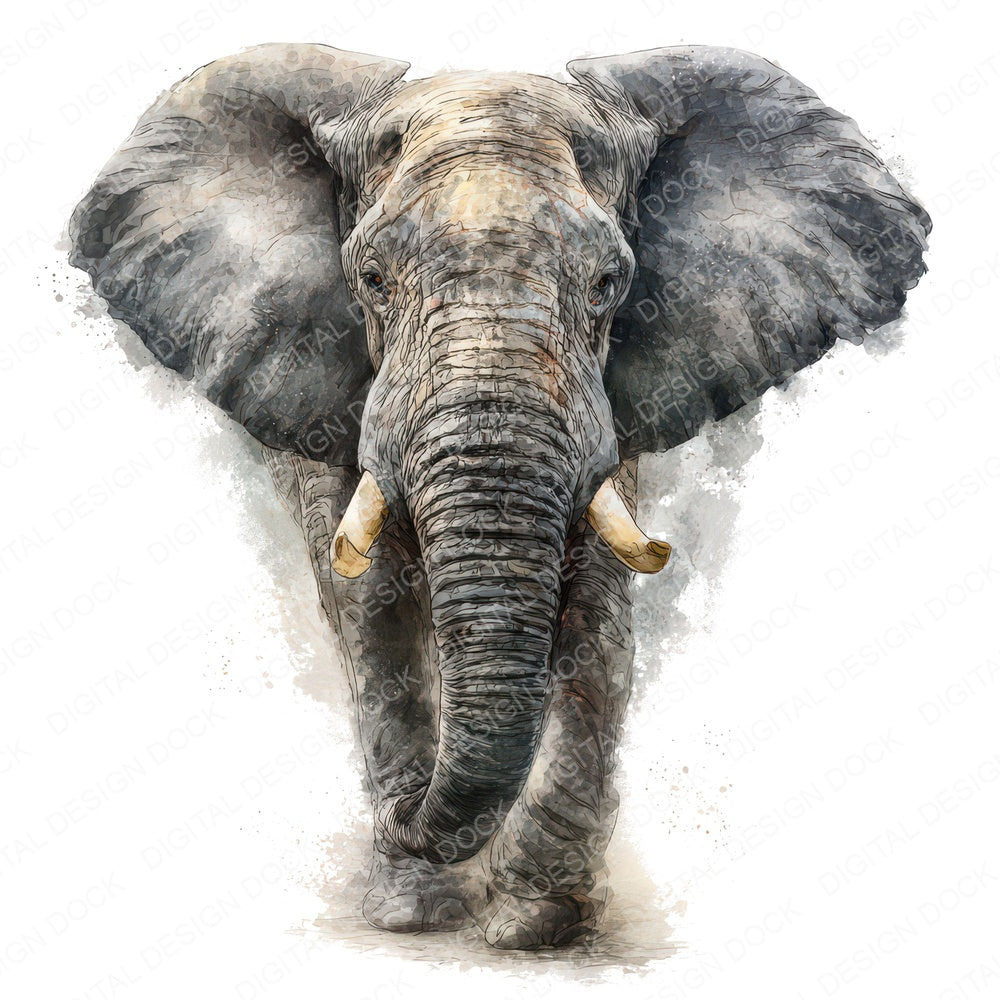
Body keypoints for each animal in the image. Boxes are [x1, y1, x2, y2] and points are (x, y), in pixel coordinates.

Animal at [68, 42, 929, 950]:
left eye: (609, 281)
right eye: (371, 278)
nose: (403, 813)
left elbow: (593, 607)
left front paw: (533, 927)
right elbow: (370, 604)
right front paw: (413, 913)